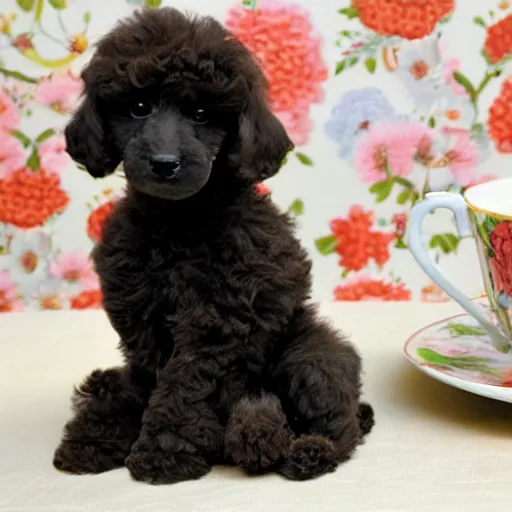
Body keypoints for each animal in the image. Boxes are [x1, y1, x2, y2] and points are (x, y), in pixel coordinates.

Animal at [52, 7, 374, 484]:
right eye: (139, 108)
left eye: (203, 114)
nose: (165, 164)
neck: (179, 221)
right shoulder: (141, 317)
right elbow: (149, 379)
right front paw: (102, 434)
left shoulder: (221, 318)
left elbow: (184, 383)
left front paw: (165, 452)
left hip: (310, 351)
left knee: (338, 420)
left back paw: (307, 451)